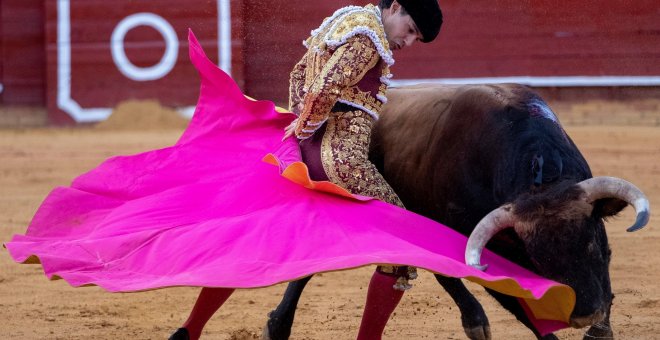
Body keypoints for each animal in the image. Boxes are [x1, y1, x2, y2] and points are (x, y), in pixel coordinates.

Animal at [262, 83, 648, 340]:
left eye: (592, 243)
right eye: (540, 258)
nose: (584, 315)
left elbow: (604, 280)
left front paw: (600, 329)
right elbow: (515, 302)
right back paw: (277, 327)